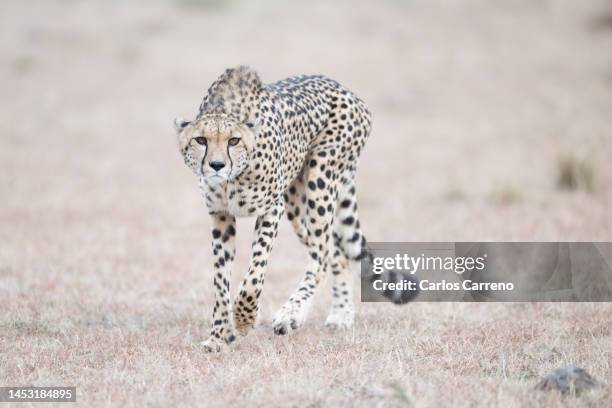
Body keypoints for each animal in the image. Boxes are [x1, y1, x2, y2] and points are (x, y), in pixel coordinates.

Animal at [175, 66, 376, 350]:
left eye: (234, 141)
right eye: (200, 140)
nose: (216, 165)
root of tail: (345, 89)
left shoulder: (271, 208)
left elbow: (255, 271)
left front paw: (244, 318)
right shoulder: (220, 216)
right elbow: (220, 279)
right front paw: (219, 335)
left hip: (320, 181)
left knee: (322, 253)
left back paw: (291, 314)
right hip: (296, 202)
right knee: (335, 252)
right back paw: (340, 314)